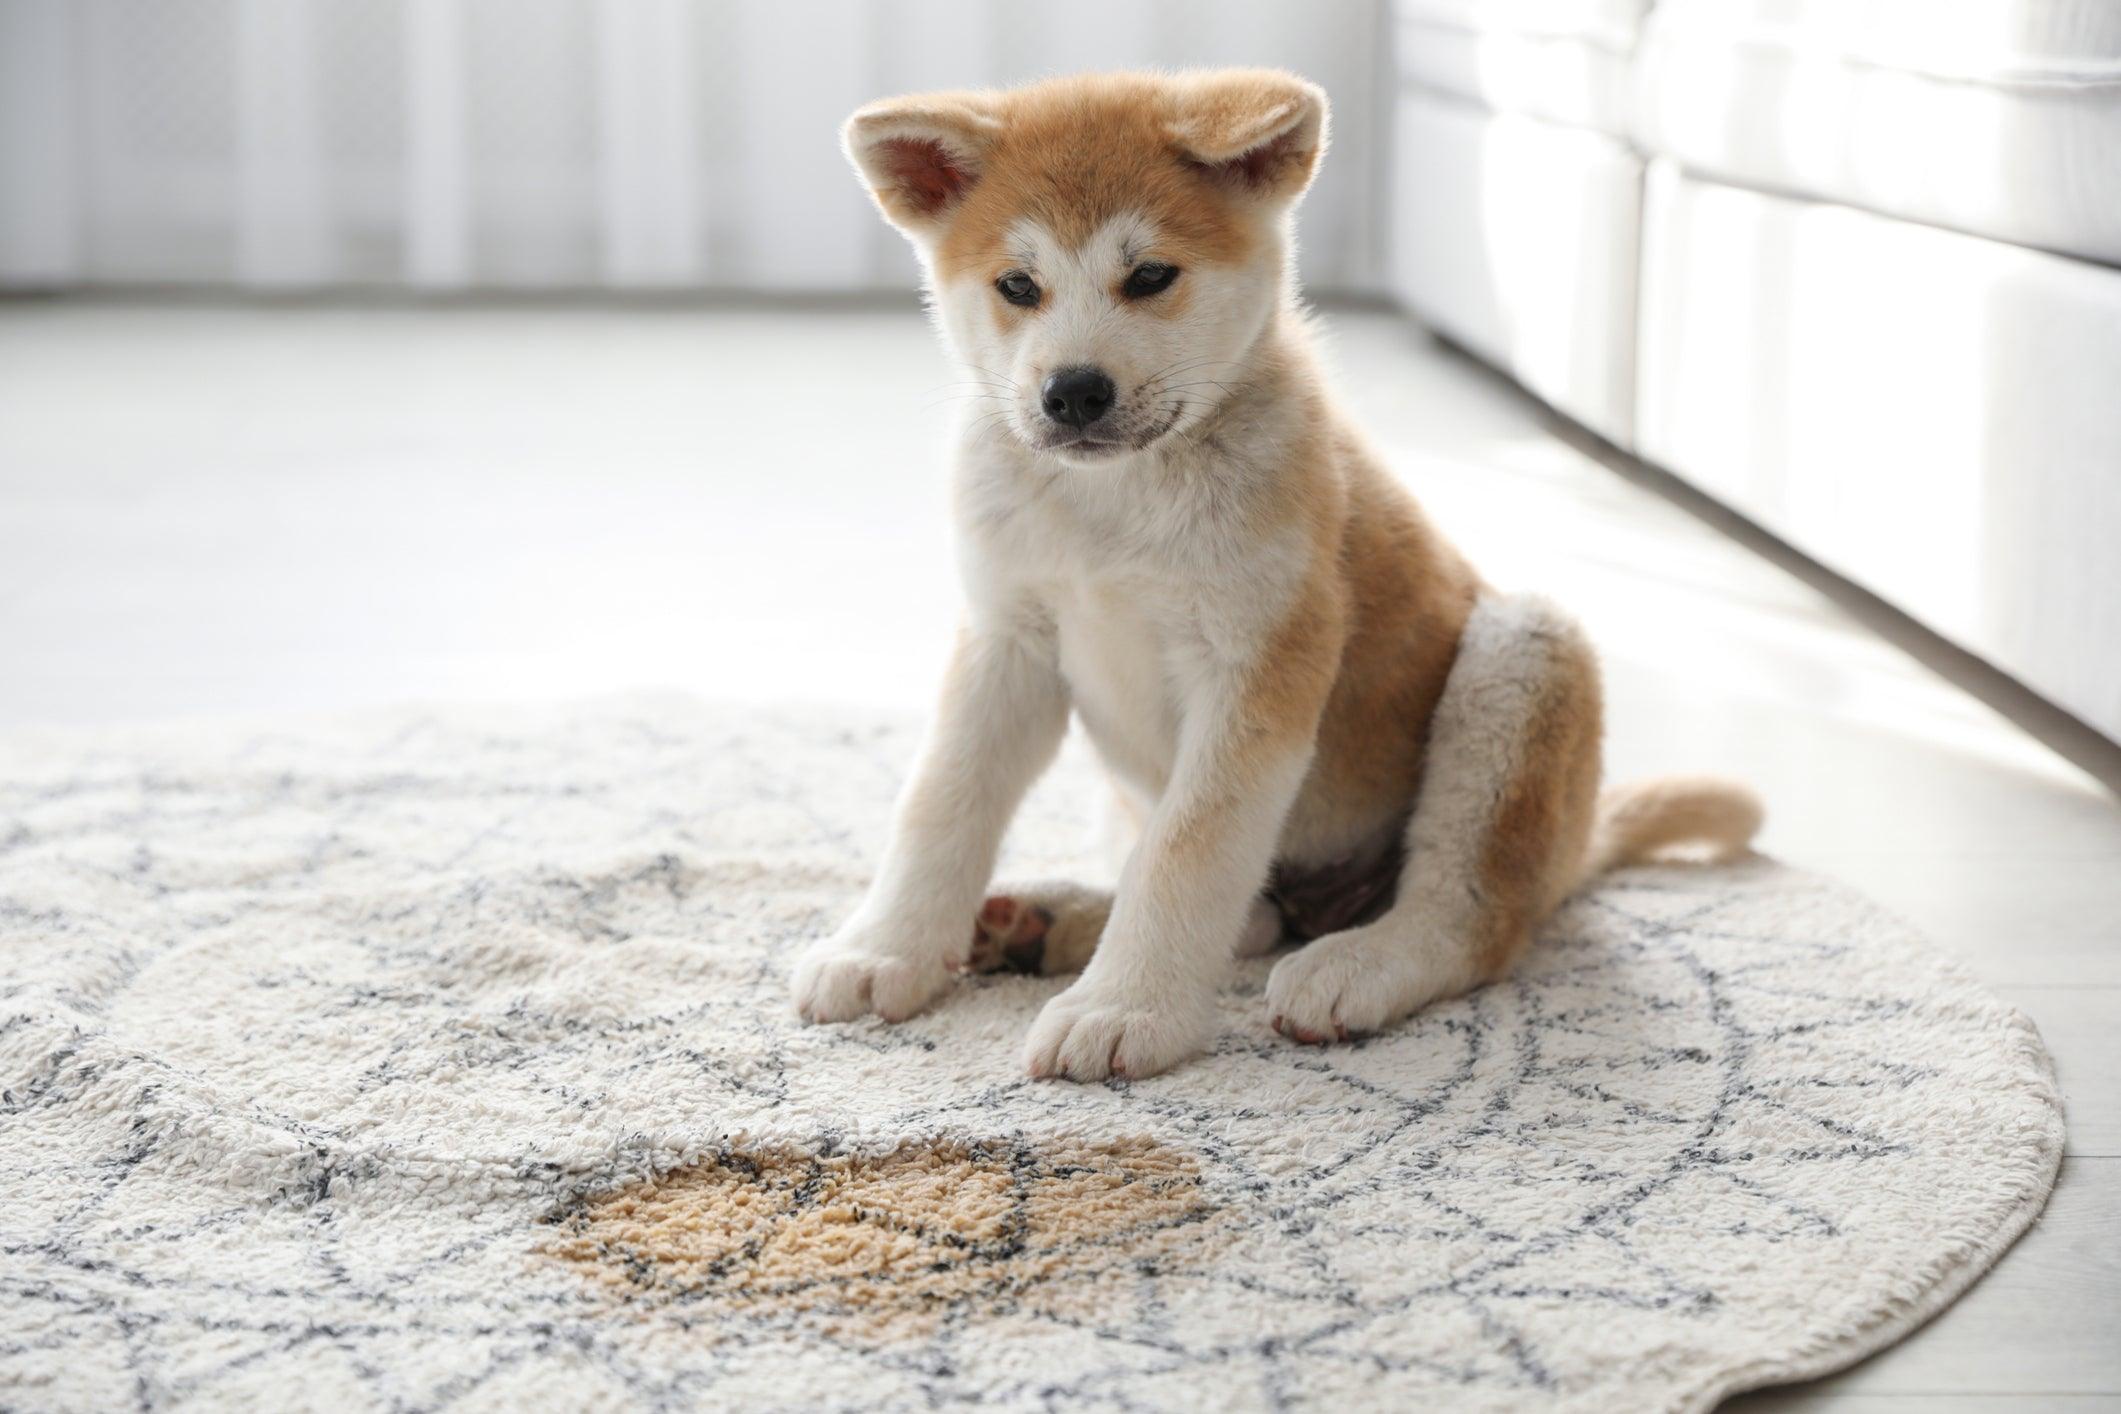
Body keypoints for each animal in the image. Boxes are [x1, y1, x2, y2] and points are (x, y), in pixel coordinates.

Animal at [797, 68, 1756, 1085]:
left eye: (1149, 277)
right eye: (1018, 286)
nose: (1073, 392)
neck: (1113, 506)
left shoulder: (1258, 661)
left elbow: (1188, 851)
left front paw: (1124, 1007)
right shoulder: (1005, 640)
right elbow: (939, 805)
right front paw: (884, 950)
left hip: (1523, 649)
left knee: (1469, 915)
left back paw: (1357, 964)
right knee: (1251, 916)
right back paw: (1046, 920)